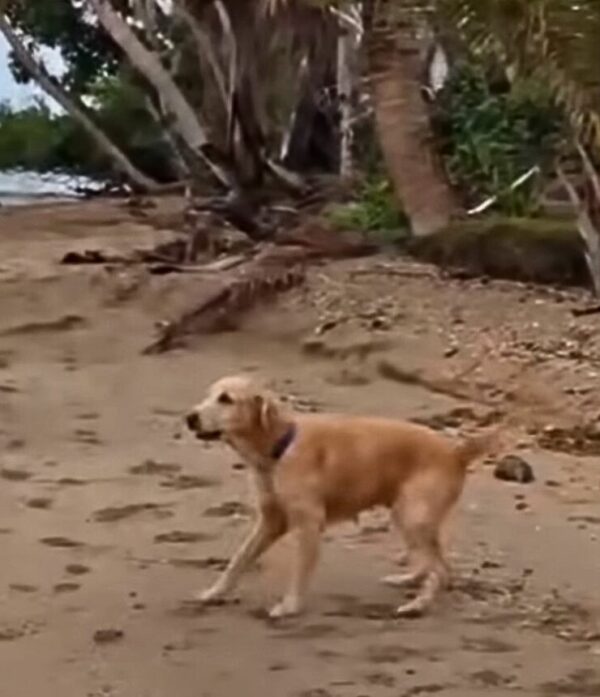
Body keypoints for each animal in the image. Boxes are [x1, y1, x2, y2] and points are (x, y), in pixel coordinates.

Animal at [185, 372, 494, 616]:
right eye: (209, 395)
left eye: (226, 399)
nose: (189, 417)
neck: (279, 448)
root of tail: (455, 452)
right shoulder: (270, 521)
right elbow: (239, 559)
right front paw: (215, 593)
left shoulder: (309, 524)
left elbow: (299, 571)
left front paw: (290, 606)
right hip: (406, 514)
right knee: (436, 563)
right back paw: (407, 580)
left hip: (413, 515)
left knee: (441, 569)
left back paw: (417, 605)